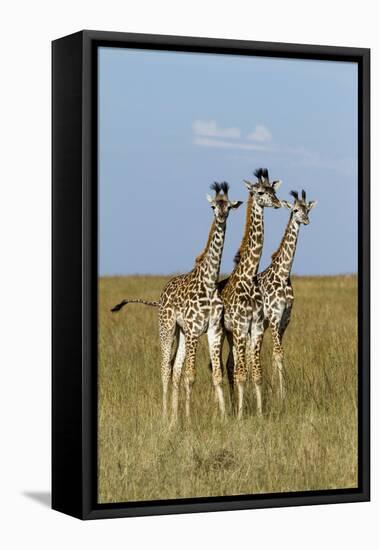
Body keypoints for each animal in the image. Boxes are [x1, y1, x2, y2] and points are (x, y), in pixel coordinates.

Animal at [111, 183, 242, 424]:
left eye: (228, 206)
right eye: (212, 206)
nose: (221, 216)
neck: (209, 282)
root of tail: (161, 296)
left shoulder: (213, 329)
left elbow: (215, 375)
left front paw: (223, 417)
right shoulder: (193, 330)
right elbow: (191, 377)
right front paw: (189, 420)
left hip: (180, 333)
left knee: (175, 371)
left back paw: (174, 417)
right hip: (168, 328)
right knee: (165, 369)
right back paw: (165, 416)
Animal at [256, 190, 320, 402]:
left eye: (307, 209)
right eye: (295, 210)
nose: (306, 220)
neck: (283, 274)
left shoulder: (284, 319)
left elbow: (276, 353)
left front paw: (275, 391)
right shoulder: (274, 317)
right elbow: (278, 353)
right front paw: (282, 395)